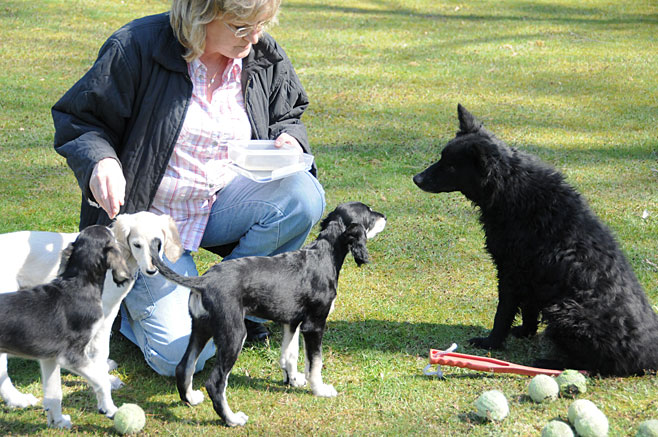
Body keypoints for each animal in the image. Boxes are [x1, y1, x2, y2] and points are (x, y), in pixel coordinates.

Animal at [0, 225, 131, 426]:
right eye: (110, 234)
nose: (113, 225)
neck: (78, 284)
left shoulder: (49, 357)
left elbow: (54, 393)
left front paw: (58, 421)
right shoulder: (70, 355)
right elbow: (101, 380)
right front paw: (109, 408)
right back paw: (18, 399)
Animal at [151, 202, 384, 426]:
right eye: (369, 213)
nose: (384, 217)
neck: (324, 255)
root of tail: (204, 281)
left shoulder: (292, 322)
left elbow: (290, 354)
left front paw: (293, 380)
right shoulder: (314, 324)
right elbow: (315, 362)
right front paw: (319, 389)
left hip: (201, 327)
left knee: (184, 366)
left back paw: (190, 398)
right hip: (234, 334)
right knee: (215, 382)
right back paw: (231, 419)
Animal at [412, 104, 656, 374]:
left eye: (451, 166)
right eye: (442, 158)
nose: (416, 179)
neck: (511, 188)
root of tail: (650, 356)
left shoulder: (510, 272)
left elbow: (503, 313)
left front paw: (491, 343)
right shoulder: (530, 276)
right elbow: (528, 310)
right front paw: (525, 333)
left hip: (564, 312)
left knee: (591, 366)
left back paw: (549, 363)